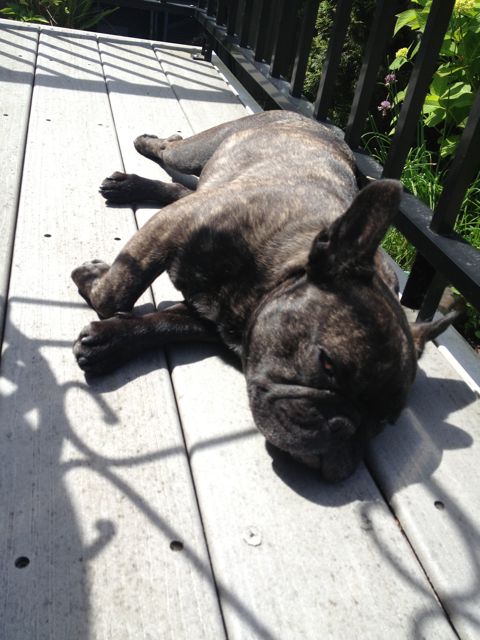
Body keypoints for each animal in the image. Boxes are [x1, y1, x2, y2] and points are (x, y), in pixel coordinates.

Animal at [72, 110, 454, 482]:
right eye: (326, 365)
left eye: (384, 423)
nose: (344, 430)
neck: (280, 270)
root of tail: (320, 126)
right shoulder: (174, 226)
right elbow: (116, 293)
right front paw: (92, 278)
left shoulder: (212, 318)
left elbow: (162, 324)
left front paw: (109, 342)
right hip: (195, 153)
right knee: (170, 151)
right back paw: (139, 161)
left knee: (182, 189)